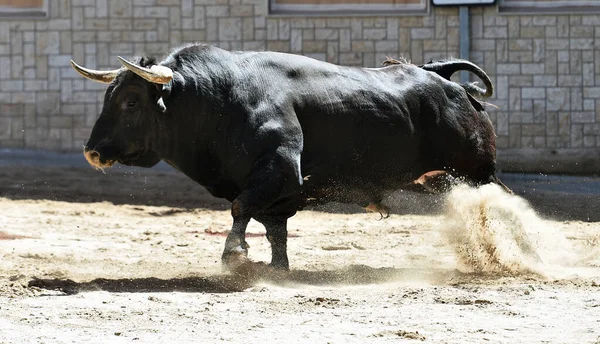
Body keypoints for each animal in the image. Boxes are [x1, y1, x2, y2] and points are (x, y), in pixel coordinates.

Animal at [71, 43, 510, 270]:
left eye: (130, 102)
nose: (92, 152)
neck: (218, 100)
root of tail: (442, 78)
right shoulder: (276, 196)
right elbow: (273, 229)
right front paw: (277, 269)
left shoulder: (278, 170)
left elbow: (240, 206)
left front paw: (234, 255)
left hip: (477, 173)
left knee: (496, 205)